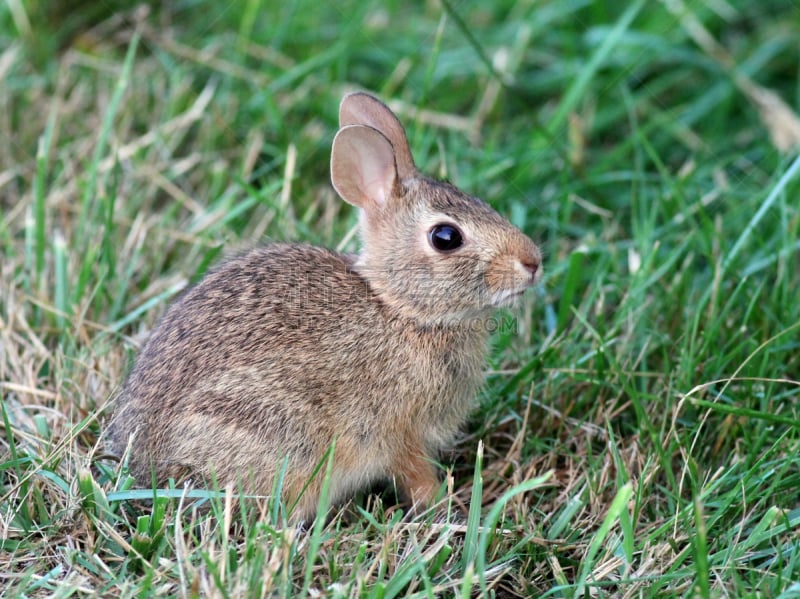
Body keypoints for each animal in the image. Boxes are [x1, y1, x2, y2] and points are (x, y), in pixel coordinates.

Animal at [108, 91, 544, 524]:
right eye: (446, 237)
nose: (533, 262)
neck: (400, 308)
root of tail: (146, 465)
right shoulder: (399, 432)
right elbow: (415, 474)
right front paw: (446, 509)